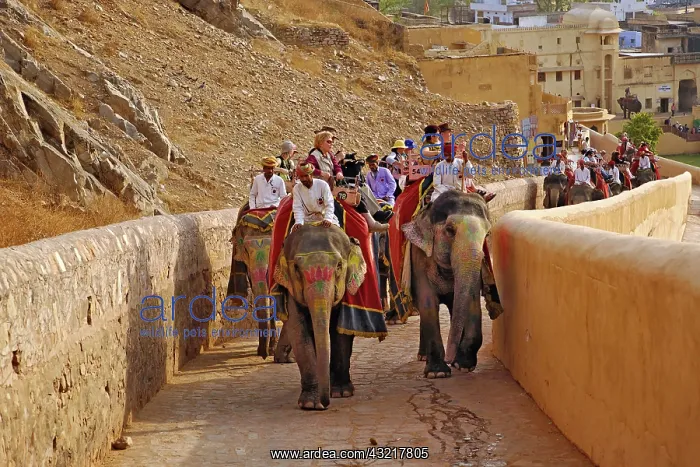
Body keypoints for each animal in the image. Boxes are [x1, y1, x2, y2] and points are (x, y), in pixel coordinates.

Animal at [272, 224, 368, 410]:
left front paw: (341, 393)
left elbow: (340, 333)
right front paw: (310, 404)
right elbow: (298, 331)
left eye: (339, 265)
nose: (326, 403)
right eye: (296, 268)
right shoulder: (291, 291)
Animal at [401, 190, 501, 378]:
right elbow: (428, 302)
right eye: (450, 230)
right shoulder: (419, 256)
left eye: (487, 234)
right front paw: (438, 373)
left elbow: (472, 300)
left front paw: (463, 365)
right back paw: (422, 356)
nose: (449, 359)